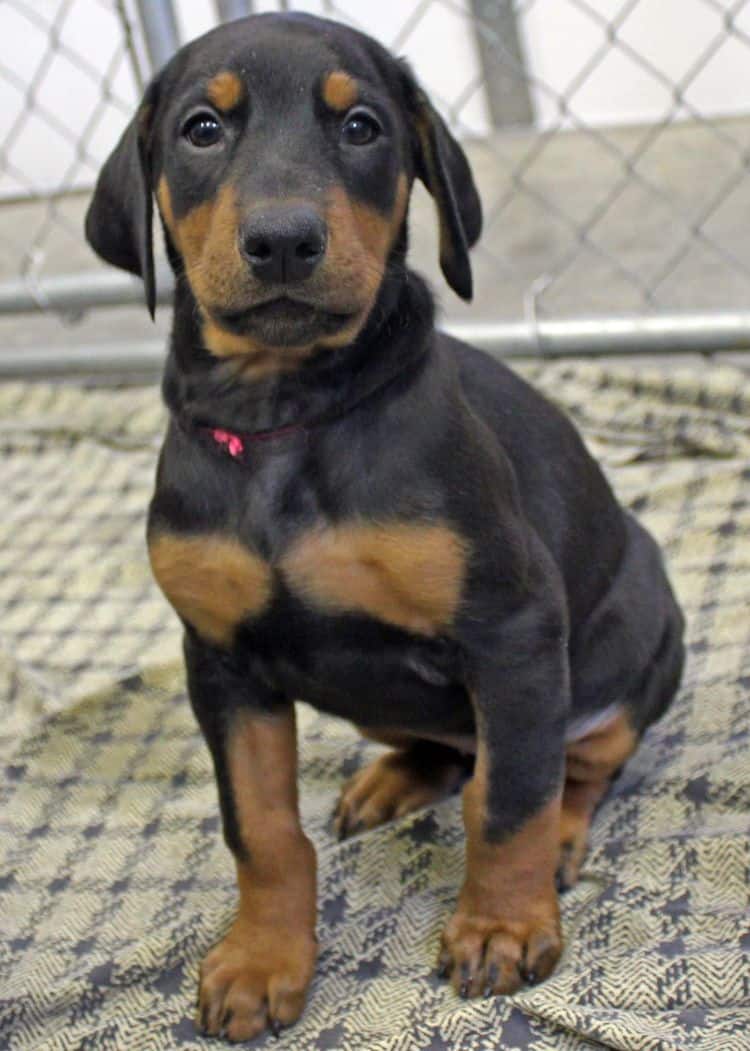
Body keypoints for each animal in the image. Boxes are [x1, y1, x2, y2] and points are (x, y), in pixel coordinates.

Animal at [84, 12, 680, 1046]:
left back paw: (559, 839)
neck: (286, 409)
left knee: (568, 763)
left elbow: (510, 801)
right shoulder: (221, 658)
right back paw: (394, 777)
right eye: (203, 128)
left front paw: (502, 925)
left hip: (637, 633)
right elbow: (260, 827)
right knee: (451, 749)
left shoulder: (515, 630)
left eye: (361, 127)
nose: (284, 241)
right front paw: (261, 960)